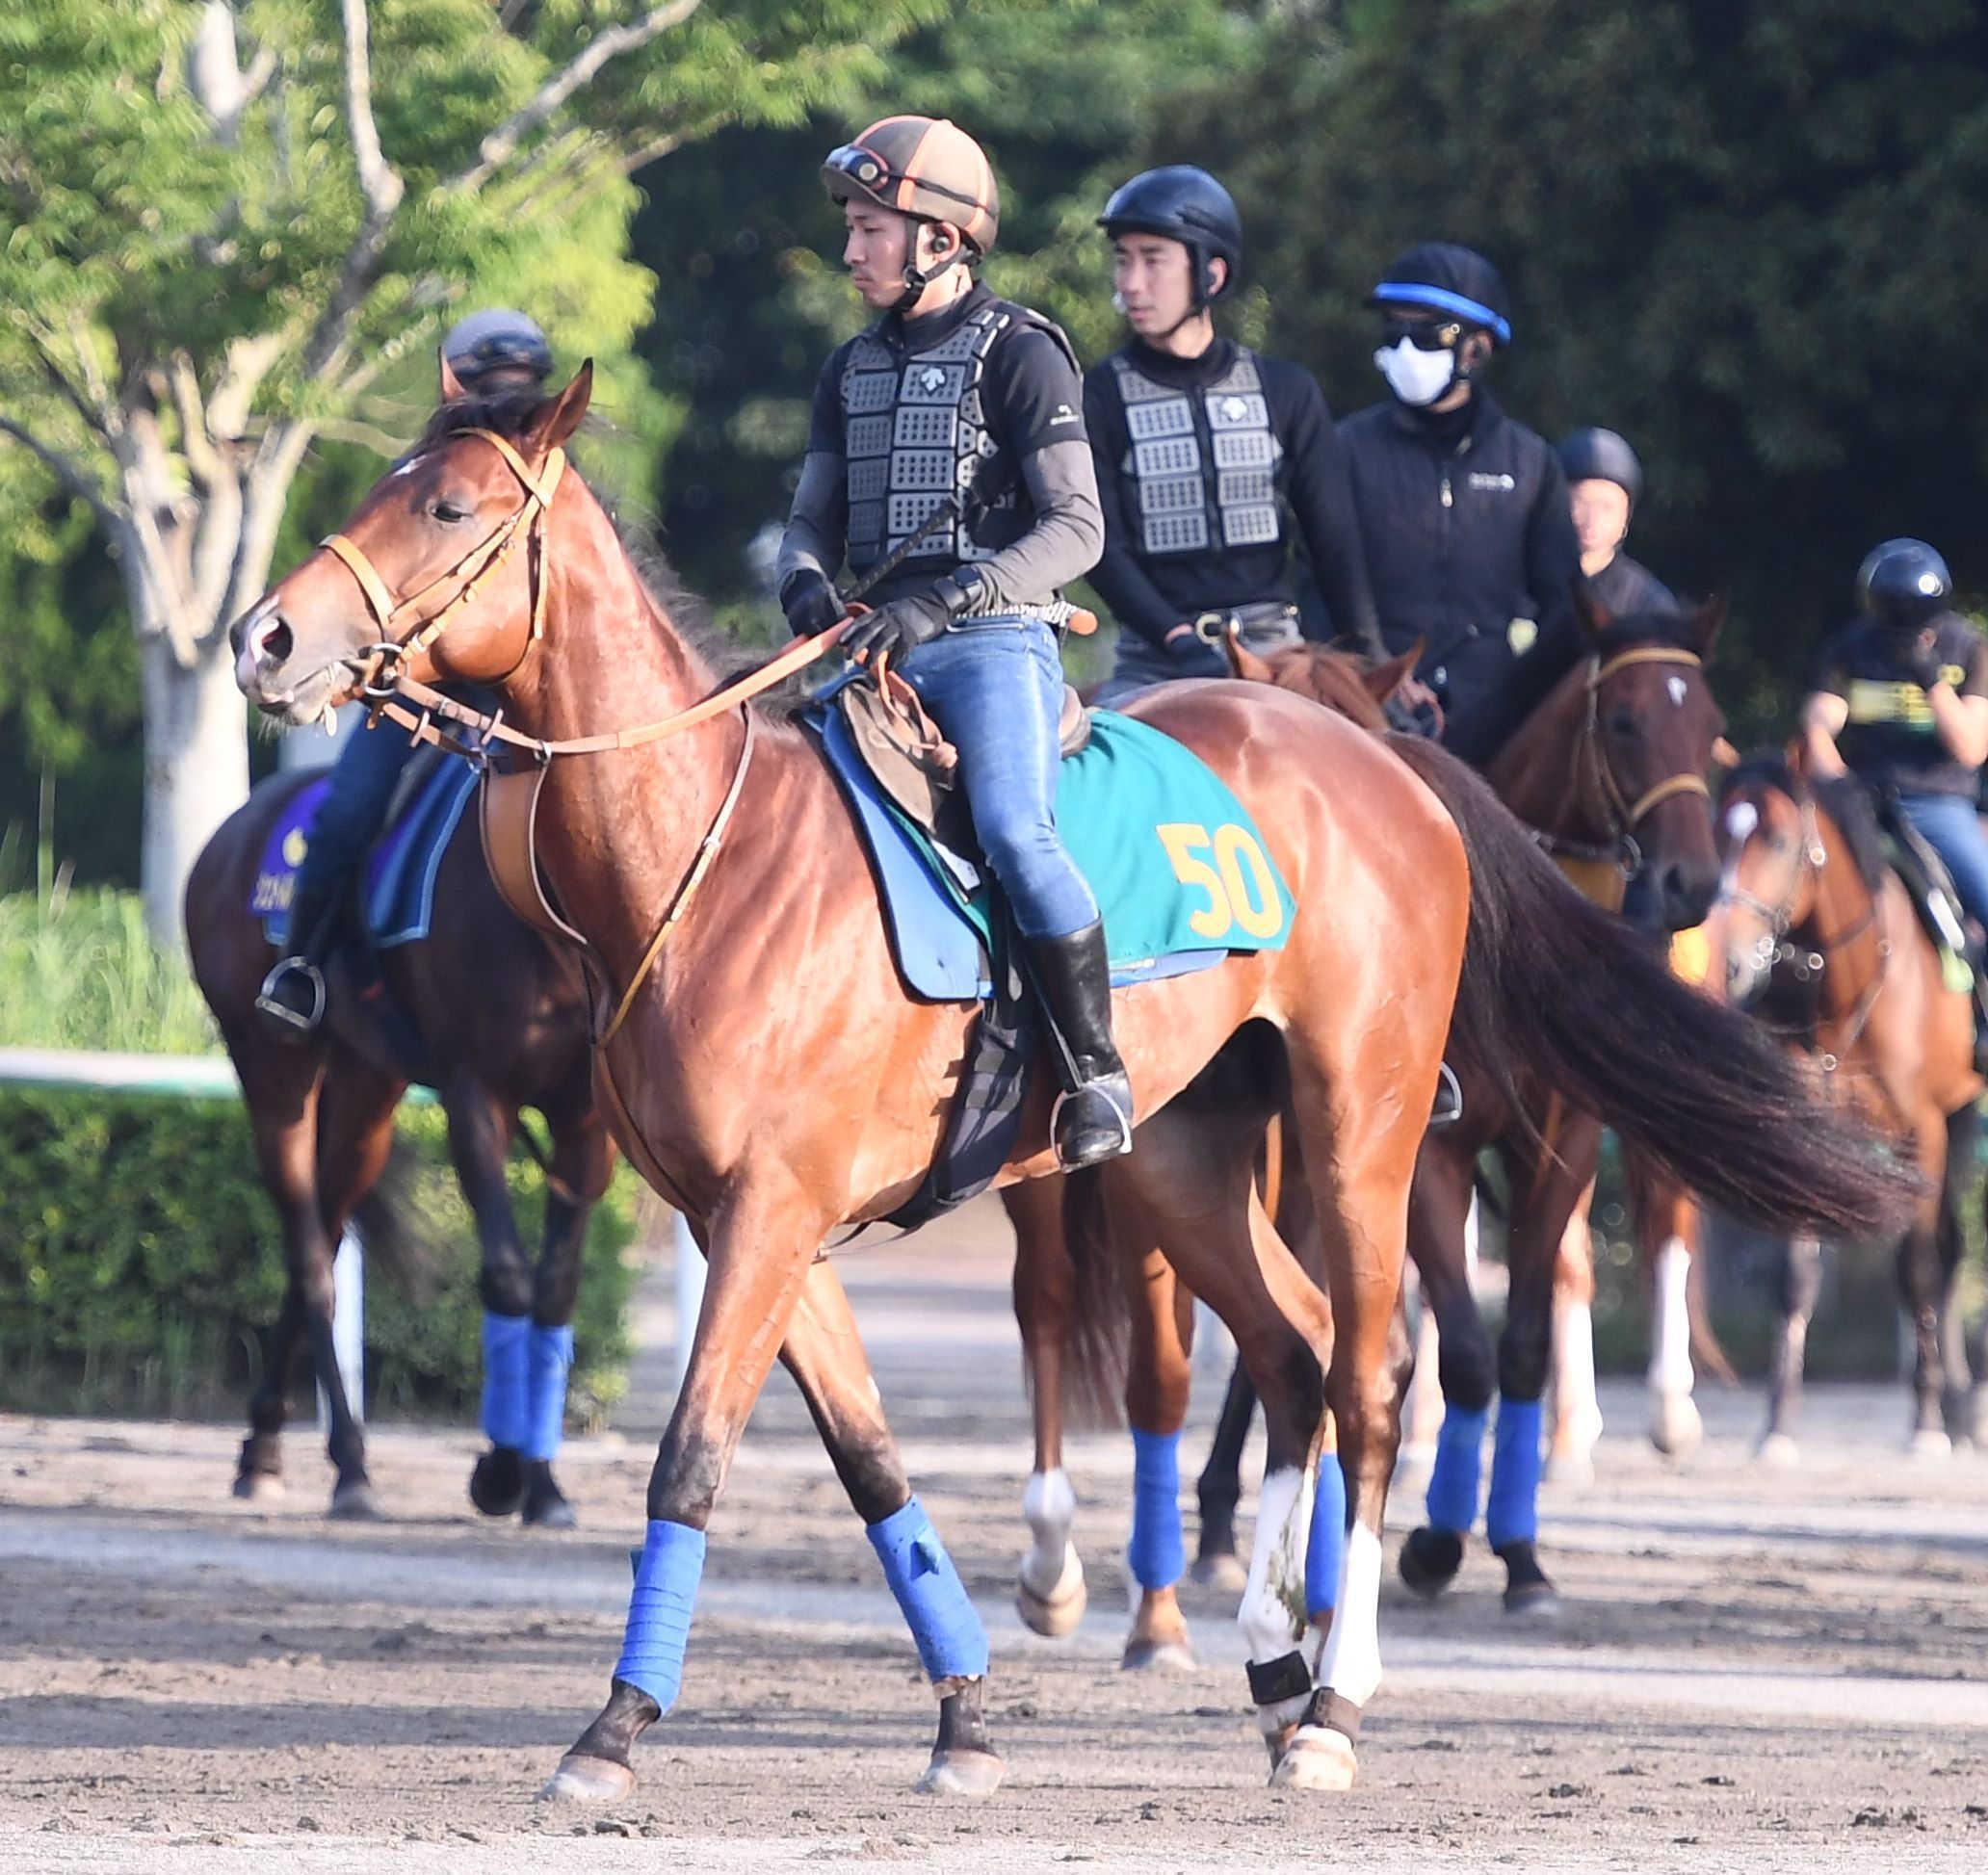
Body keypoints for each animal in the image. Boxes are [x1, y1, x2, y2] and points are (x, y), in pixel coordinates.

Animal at [191, 763, 619, 1526]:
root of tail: (231, 833)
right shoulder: (475, 1093)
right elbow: (507, 1276)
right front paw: (501, 1473)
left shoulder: (584, 1122)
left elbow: (556, 1292)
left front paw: (544, 1485)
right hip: (273, 1074)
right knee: (310, 1261)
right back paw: (349, 1468)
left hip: (366, 1093)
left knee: (325, 1233)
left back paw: (265, 1448)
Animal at [1710, 755, 1988, 1455]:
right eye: (1718, 830)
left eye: (1780, 840)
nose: (1730, 965)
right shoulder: (1807, 1127)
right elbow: (1795, 1275)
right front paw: (1778, 1422)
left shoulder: (1923, 1133)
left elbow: (1917, 1267)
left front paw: (1925, 1423)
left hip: (1959, 1119)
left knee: (1946, 1252)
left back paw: (1953, 1406)